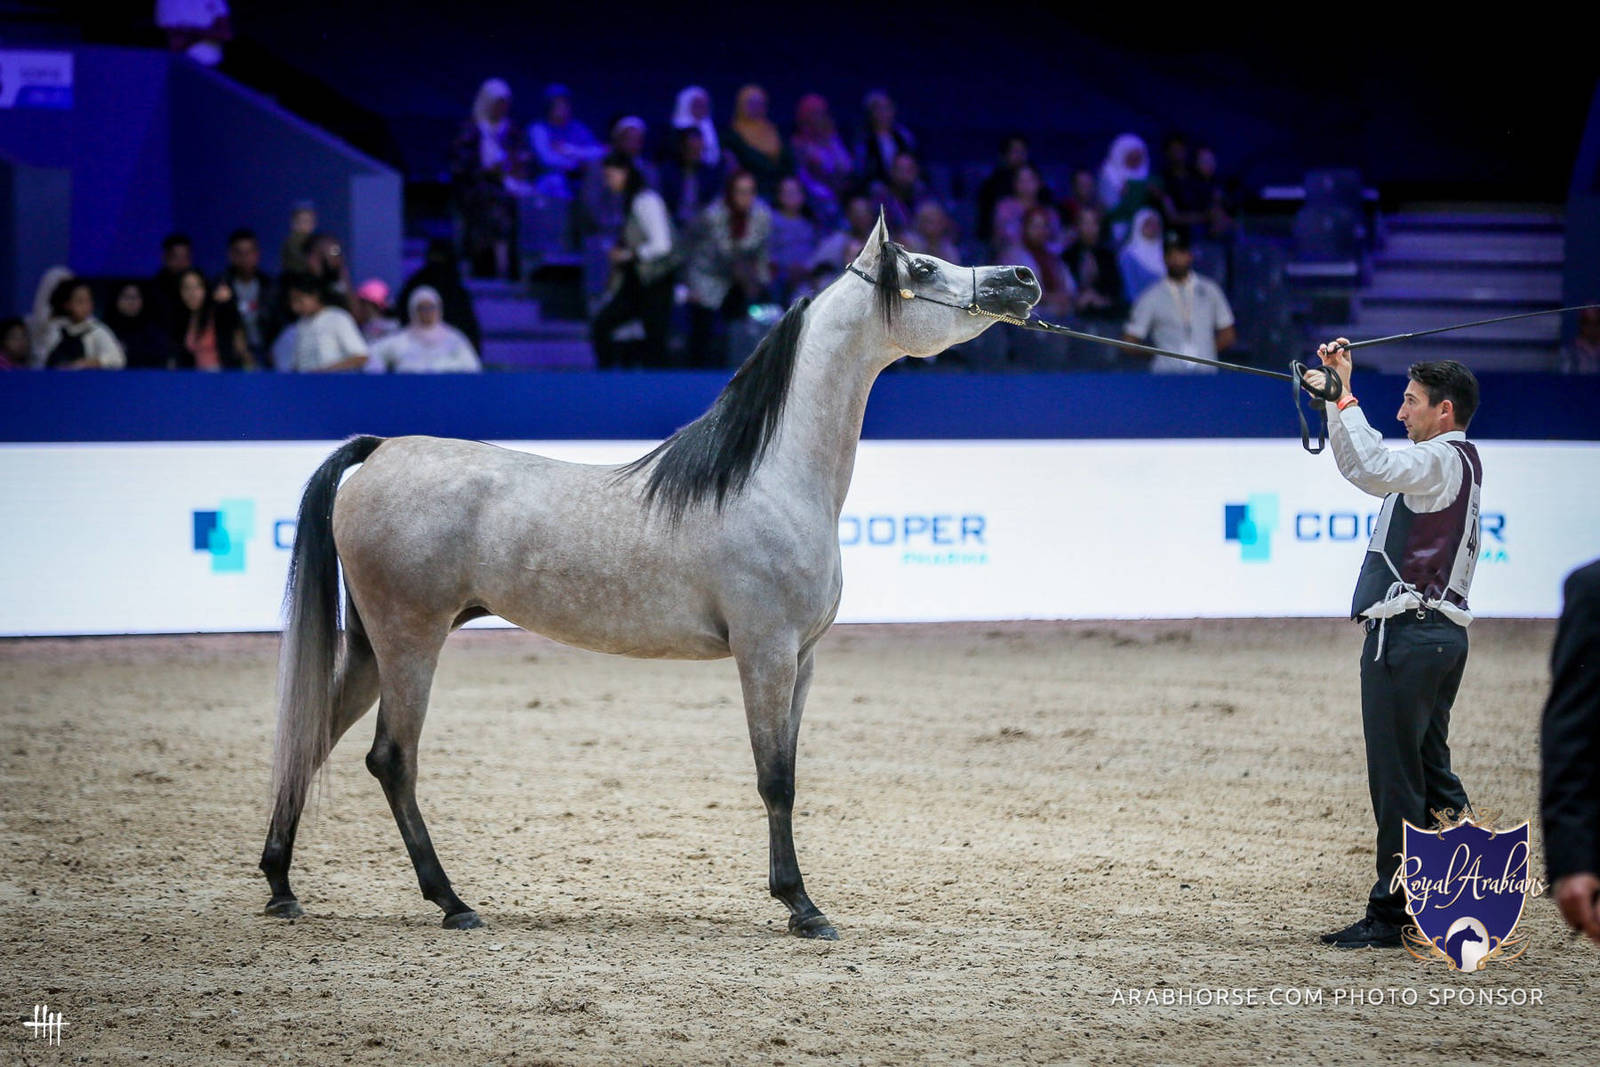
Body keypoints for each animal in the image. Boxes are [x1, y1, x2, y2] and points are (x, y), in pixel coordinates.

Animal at [259, 213, 1041, 938]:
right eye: (924, 266)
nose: (1022, 279)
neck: (770, 477)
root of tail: (380, 449)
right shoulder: (766, 653)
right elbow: (775, 778)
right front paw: (802, 905)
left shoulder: (804, 658)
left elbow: (788, 770)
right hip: (410, 639)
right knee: (392, 760)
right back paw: (452, 902)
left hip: (372, 645)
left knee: (311, 740)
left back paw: (282, 886)